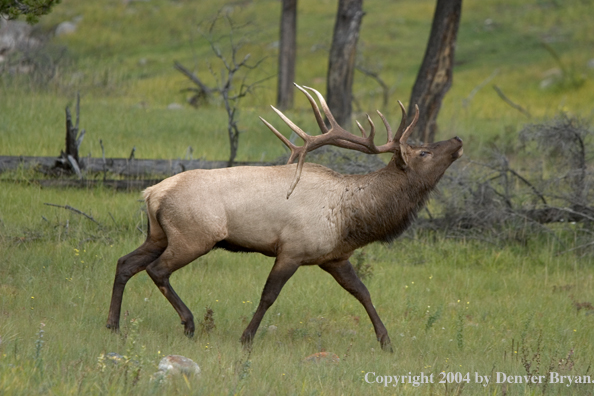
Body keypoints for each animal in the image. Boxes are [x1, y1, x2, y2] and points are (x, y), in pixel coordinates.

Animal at [104, 84, 460, 352]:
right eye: (424, 152)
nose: (457, 140)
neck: (351, 219)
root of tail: (151, 193)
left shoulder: (334, 256)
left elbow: (363, 292)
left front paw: (386, 341)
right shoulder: (292, 249)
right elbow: (268, 295)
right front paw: (246, 338)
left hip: (157, 234)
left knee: (125, 263)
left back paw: (112, 325)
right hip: (193, 236)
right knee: (157, 269)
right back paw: (188, 323)